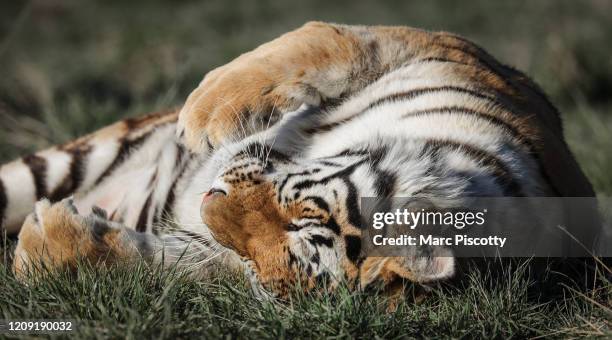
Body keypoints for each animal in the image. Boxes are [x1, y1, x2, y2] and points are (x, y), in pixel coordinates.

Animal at [0, 21, 596, 298]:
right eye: (302, 215)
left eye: (255, 263)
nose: (208, 201)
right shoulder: (435, 48)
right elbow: (323, 41)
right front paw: (207, 112)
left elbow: (167, 261)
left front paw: (44, 249)